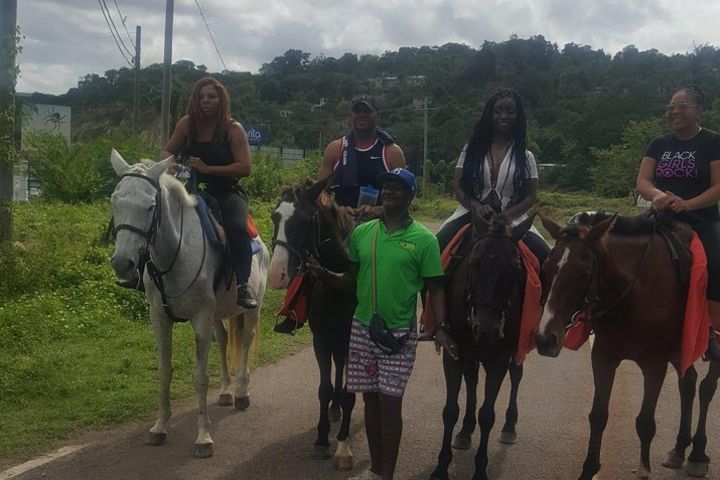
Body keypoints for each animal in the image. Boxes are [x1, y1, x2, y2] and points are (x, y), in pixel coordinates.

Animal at [105, 149, 266, 458]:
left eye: (150, 206)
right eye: (114, 201)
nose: (123, 264)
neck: (173, 253)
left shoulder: (200, 317)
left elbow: (200, 377)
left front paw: (203, 437)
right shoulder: (160, 318)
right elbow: (164, 372)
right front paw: (159, 427)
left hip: (252, 308)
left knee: (246, 340)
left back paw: (241, 393)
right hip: (218, 314)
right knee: (224, 340)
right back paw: (226, 391)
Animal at [268, 178, 358, 470]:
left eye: (305, 220)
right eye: (275, 216)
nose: (275, 275)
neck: (341, 284)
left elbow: (350, 393)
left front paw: (343, 447)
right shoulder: (322, 338)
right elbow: (324, 389)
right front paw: (321, 440)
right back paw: (335, 410)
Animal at [428, 213, 536, 480]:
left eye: (514, 267)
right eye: (474, 262)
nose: (486, 329)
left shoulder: (499, 358)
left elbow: (487, 415)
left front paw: (480, 469)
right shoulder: (453, 352)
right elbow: (450, 410)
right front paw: (441, 467)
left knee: (516, 374)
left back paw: (509, 426)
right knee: (472, 379)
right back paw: (465, 430)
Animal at [536, 214, 720, 480]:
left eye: (583, 272)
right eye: (546, 269)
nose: (544, 339)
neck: (636, 288)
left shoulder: (655, 364)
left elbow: (645, 423)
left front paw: (644, 472)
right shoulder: (603, 356)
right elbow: (598, 415)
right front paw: (589, 469)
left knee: (707, 388)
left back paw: (697, 453)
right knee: (688, 384)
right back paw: (679, 448)